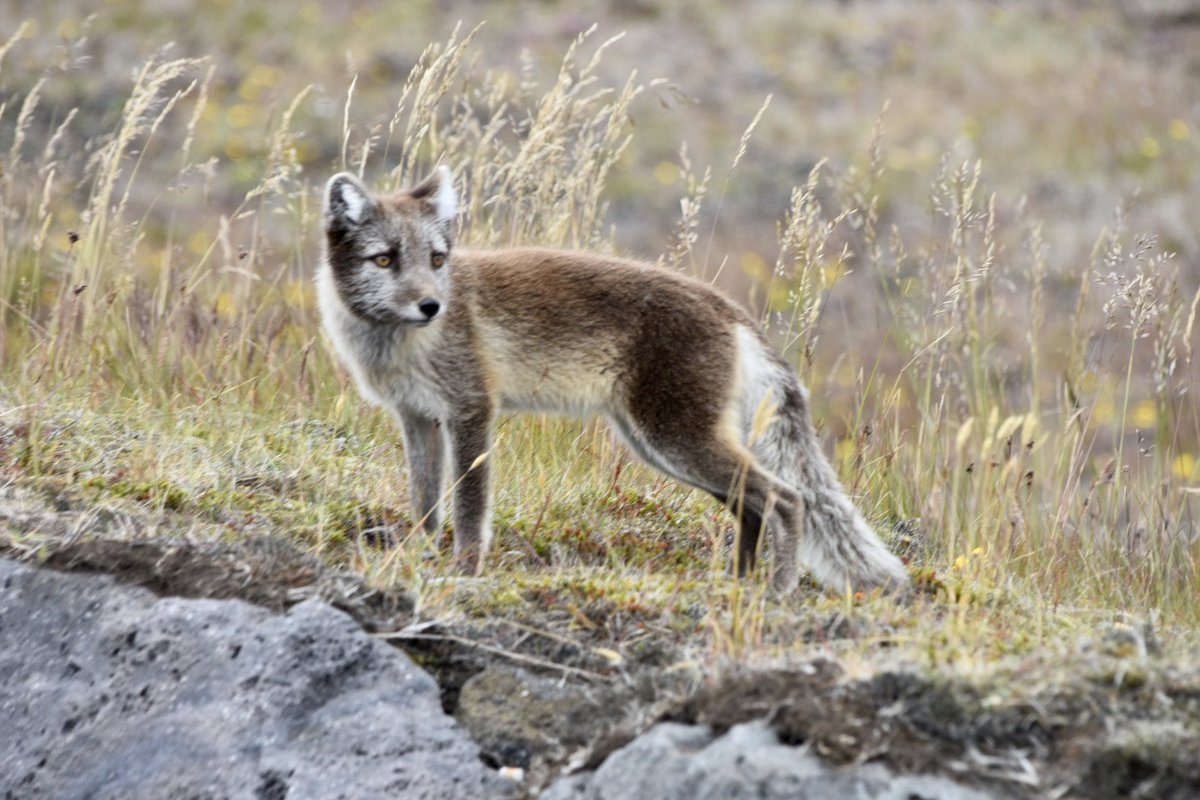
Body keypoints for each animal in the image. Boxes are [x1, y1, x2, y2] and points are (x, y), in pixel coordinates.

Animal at [317, 166, 909, 594]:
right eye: (385, 260)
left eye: (438, 260)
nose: (431, 306)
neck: (395, 344)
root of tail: (730, 308)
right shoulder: (417, 418)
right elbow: (424, 503)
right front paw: (415, 556)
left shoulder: (470, 411)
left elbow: (467, 507)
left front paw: (464, 570)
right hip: (664, 446)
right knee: (754, 506)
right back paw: (737, 585)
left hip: (675, 439)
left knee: (787, 499)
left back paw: (776, 592)